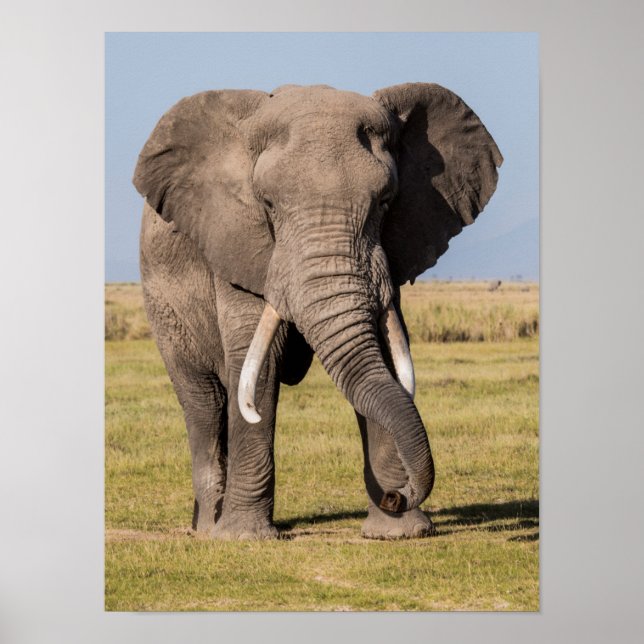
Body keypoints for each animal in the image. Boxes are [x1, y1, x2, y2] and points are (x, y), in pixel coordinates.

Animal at [133, 82, 502, 540]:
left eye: (385, 202)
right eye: (267, 204)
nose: (395, 495)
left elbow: (381, 353)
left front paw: (400, 533)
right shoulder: (240, 245)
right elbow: (259, 363)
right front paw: (243, 539)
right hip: (163, 305)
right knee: (203, 401)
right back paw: (207, 529)